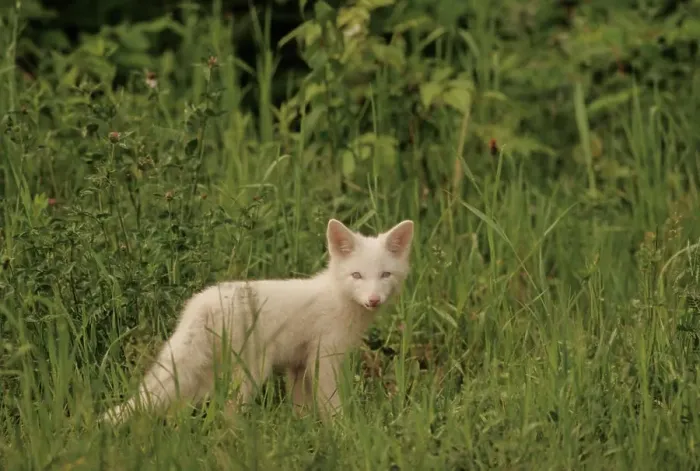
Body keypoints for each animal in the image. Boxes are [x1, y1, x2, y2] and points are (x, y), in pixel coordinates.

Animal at [101, 218, 414, 425]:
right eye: (357, 275)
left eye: (385, 275)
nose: (373, 300)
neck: (336, 296)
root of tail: (201, 304)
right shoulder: (324, 359)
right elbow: (331, 405)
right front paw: (343, 432)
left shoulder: (298, 365)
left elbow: (301, 408)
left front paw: (304, 432)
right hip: (252, 371)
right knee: (227, 410)